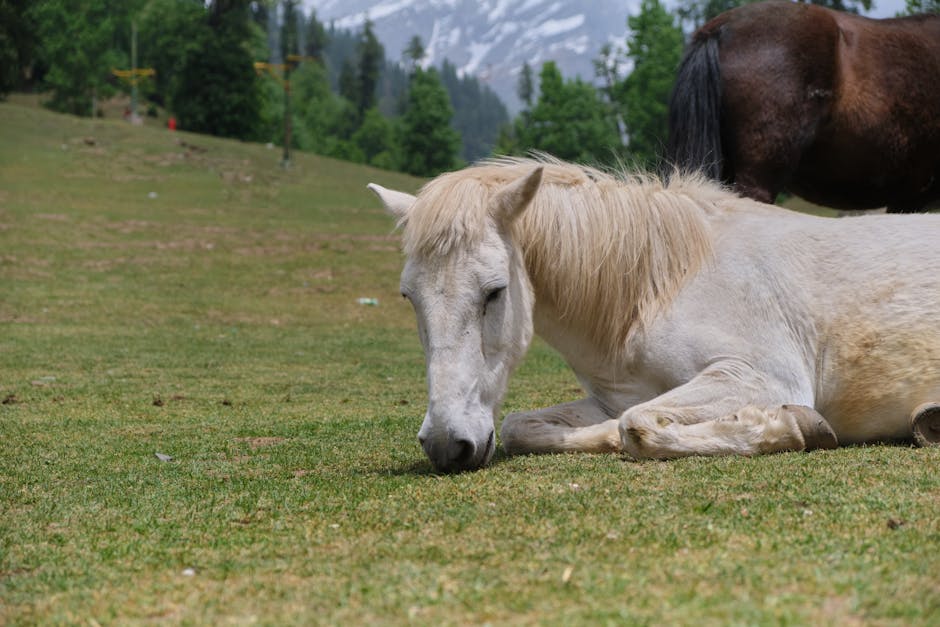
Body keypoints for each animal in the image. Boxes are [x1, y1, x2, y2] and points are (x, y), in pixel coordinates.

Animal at [368, 159, 940, 474]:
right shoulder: (610, 398)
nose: (447, 444)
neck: (660, 283)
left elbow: (637, 424)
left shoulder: (760, 376)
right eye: (408, 297)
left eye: (494, 292)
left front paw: (787, 425)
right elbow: (524, 426)